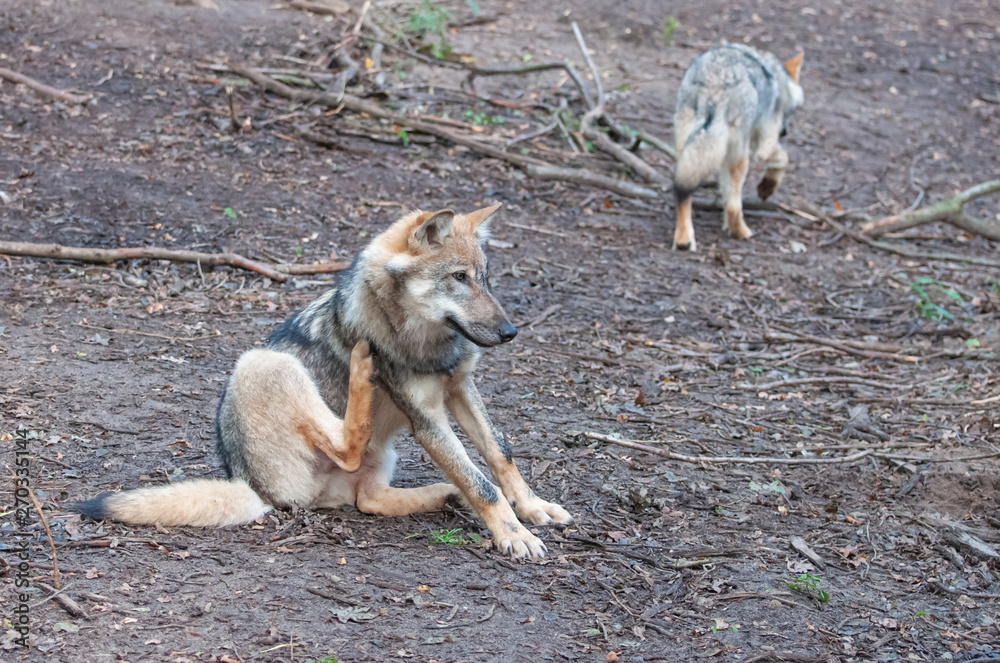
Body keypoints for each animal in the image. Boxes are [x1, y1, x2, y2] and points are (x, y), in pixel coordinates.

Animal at [76, 203, 571, 559]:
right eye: (459, 278)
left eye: (484, 280)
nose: (510, 332)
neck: (427, 342)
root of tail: (251, 488)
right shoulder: (427, 419)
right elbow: (481, 483)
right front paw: (513, 534)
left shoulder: (461, 389)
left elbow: (500, 456)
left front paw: (532, 509)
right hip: (263, 363)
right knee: (349, 450)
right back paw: (363, 368)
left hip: (380, 454)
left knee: (369, 499)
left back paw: (444, 494)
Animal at [672, 44, 804, 251]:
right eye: (792, 112)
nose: (784, 132)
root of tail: (715, 85)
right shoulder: (763, 146)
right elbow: (783, 157)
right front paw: (767, 186)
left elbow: (725, 193)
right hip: (740, 157)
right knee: (735, 206)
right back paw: (742, 233)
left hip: (689, 150)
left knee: (682, 192)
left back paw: (684, 240)